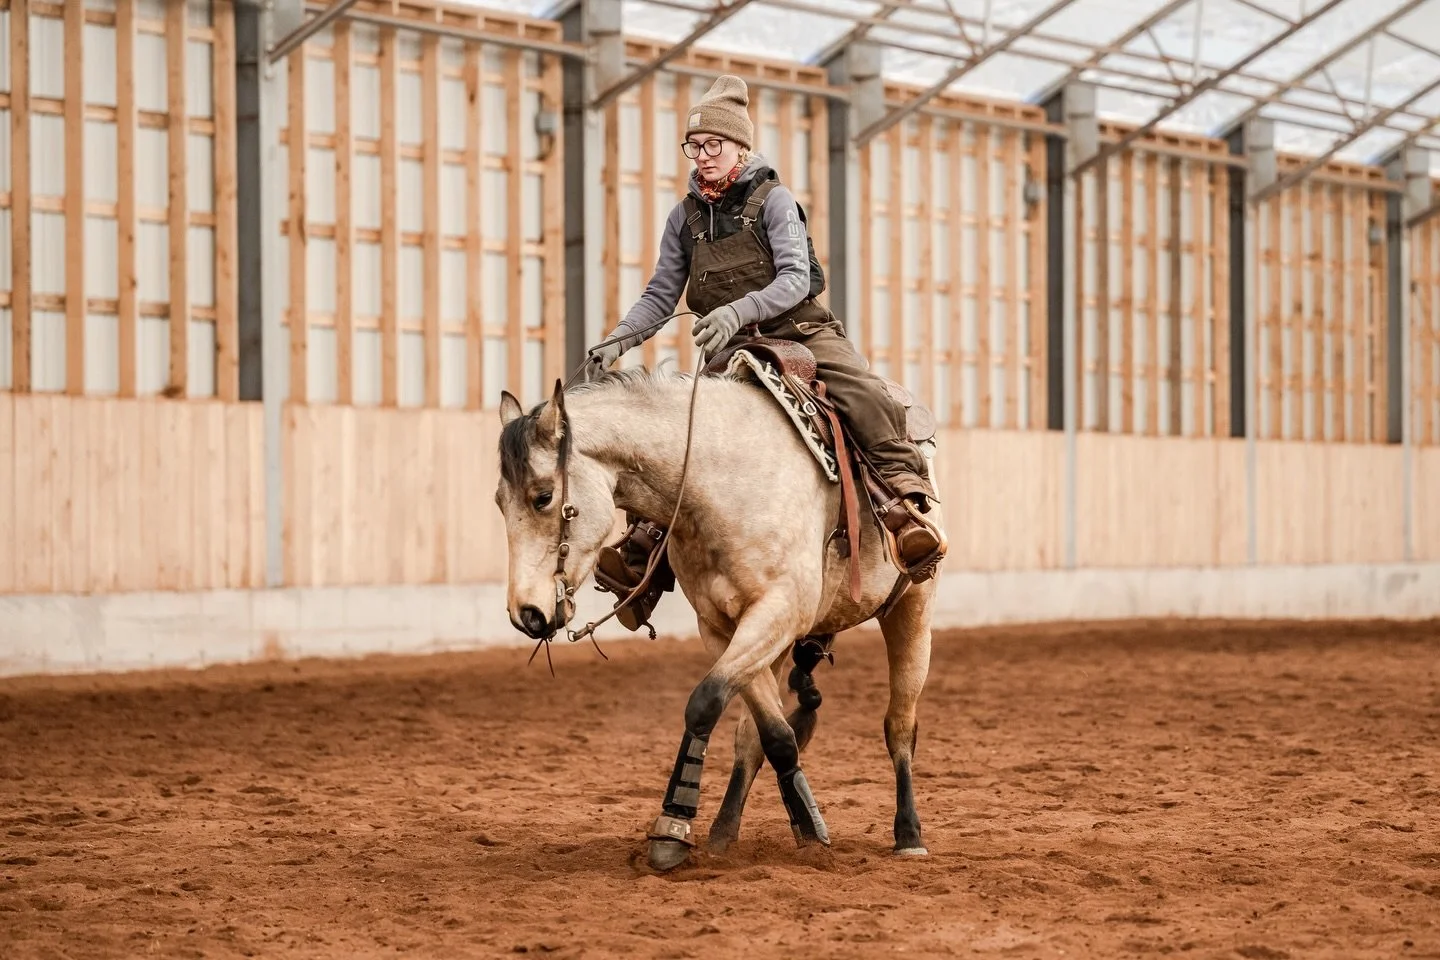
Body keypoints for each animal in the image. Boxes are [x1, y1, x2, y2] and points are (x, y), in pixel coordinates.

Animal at [494, 360, 943, 872]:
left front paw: (672, 827)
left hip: (912, 606)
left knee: (899, 725)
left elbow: (705, 702)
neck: (719, 482)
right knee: (754, 734)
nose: (527, 613)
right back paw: (724, 831)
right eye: (499, 501)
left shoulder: (778, 611)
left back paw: (908, 833)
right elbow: (773, 733)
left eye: (543, 496)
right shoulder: (721, 627)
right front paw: (805, 824)